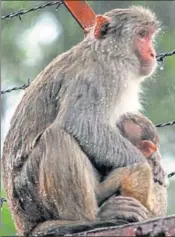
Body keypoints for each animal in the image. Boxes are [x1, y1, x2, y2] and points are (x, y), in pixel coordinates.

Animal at [2, 4, 161, 237]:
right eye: (141, 35)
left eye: (150, 36)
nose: (152, 53)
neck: (108, 52)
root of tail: (24, 224)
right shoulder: (97, 76)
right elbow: (81, 124)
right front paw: (142, 163)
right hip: (30, 195)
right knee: (56, 136)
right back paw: (89, 218)